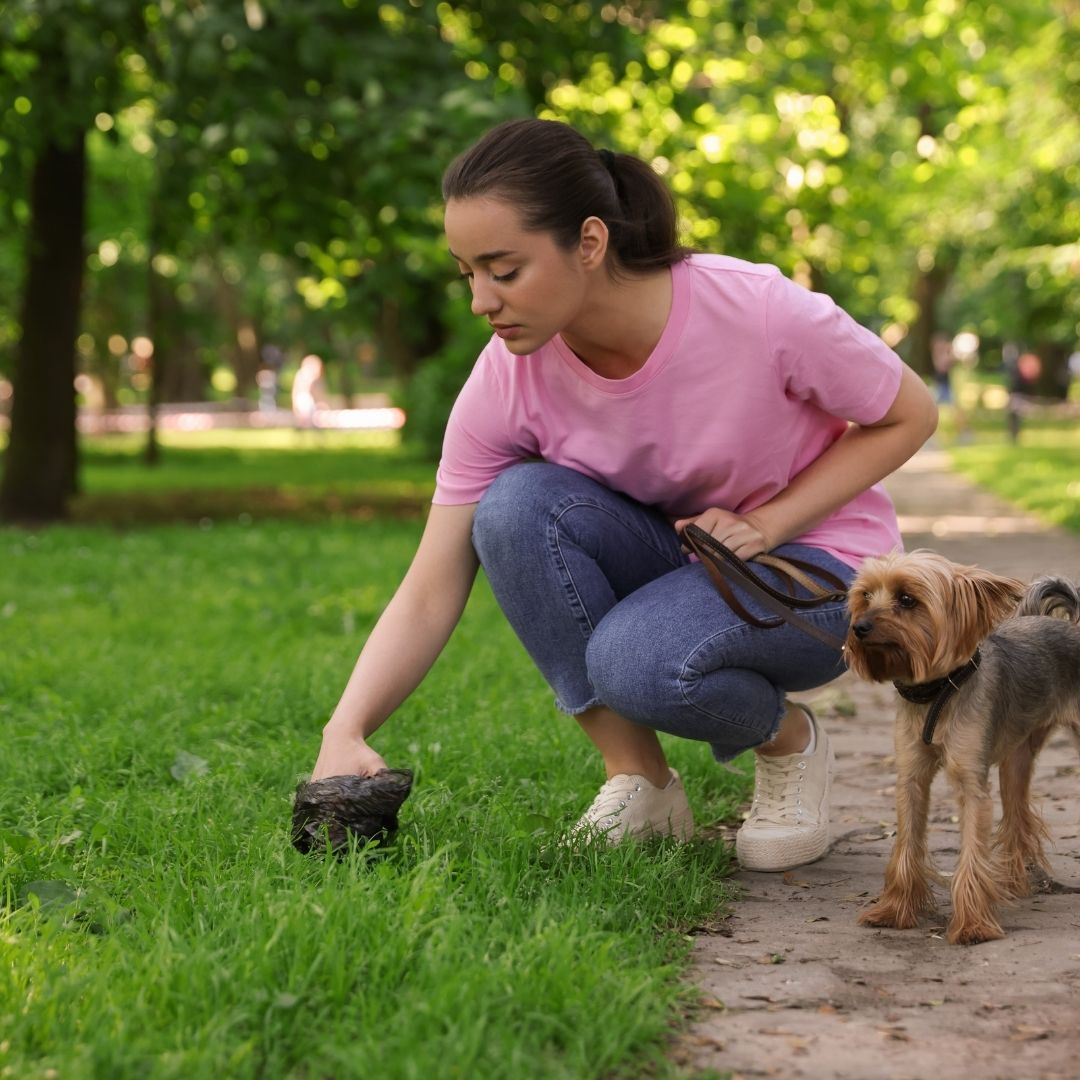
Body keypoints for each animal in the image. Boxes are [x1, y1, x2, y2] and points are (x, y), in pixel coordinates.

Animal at [842, 552, 1080, 941]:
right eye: (865, 596)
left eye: (907, 599)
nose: (859, 627)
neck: (938, 691)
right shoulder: (910, 779)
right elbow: (906, 843)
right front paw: (894, 910)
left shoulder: (972, 785)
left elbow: (970, 851)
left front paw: (972, 925)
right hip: (1016, 759)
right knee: (1017, 815)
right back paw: (1012, 885)